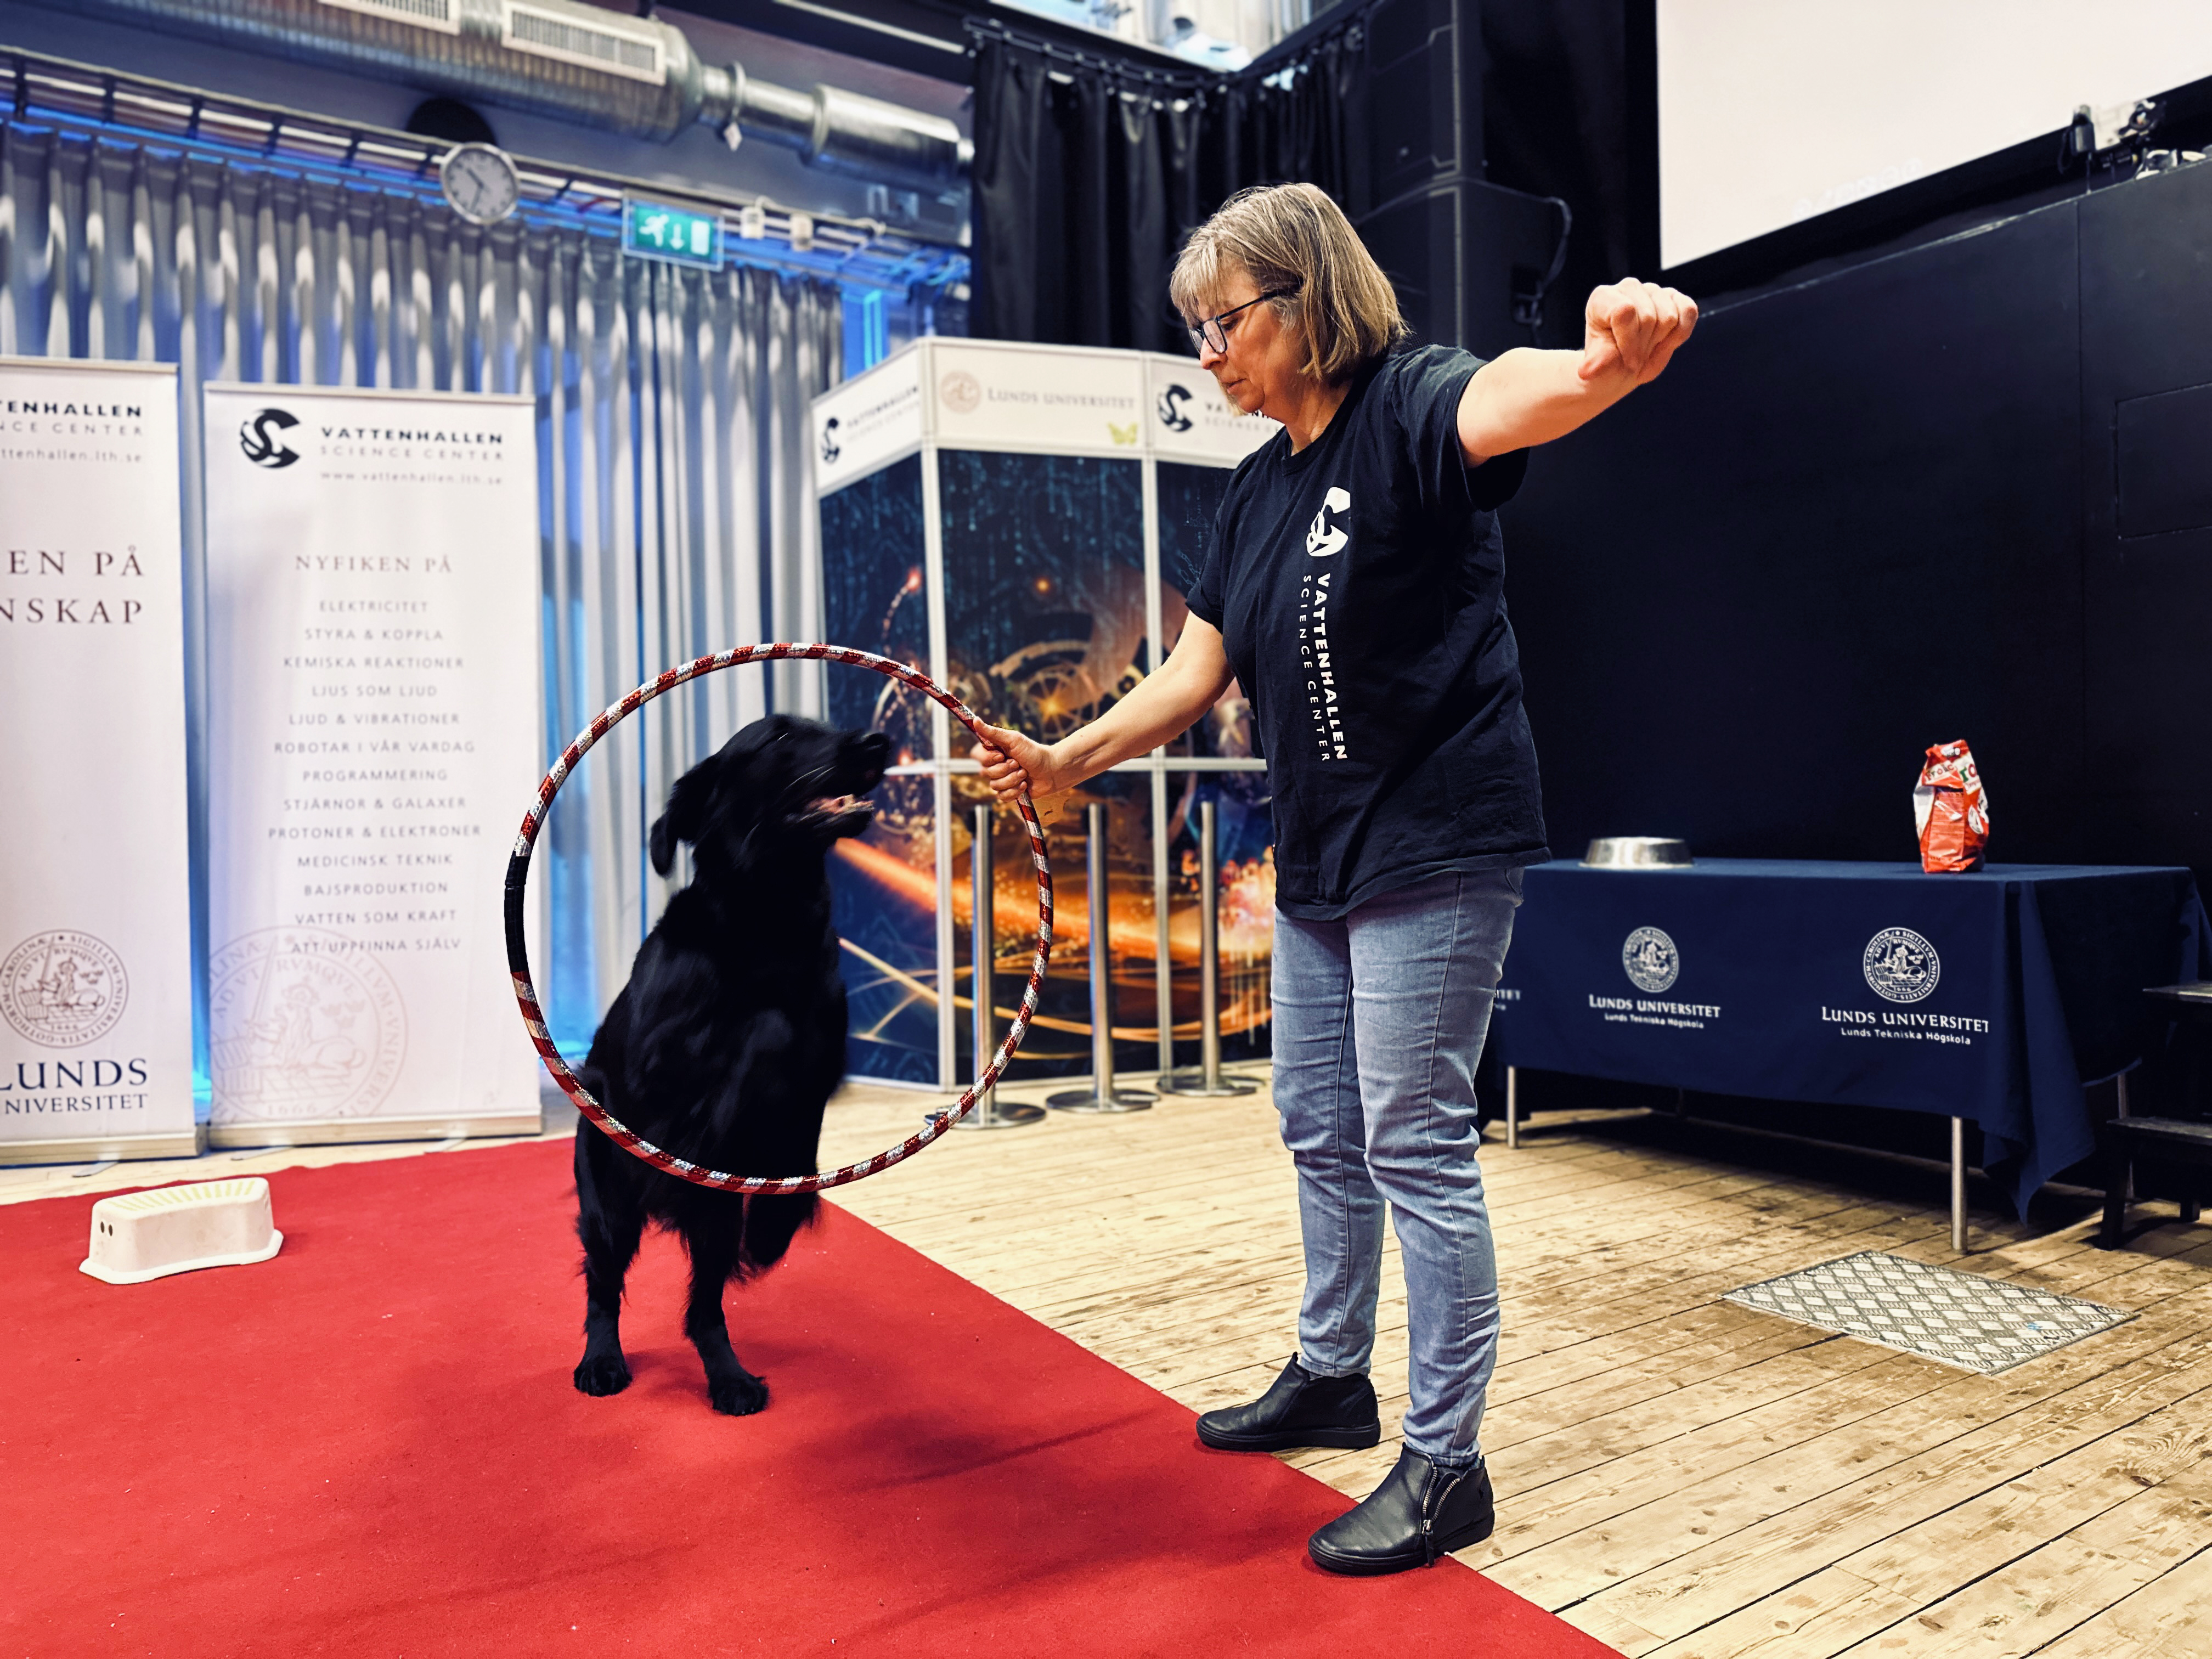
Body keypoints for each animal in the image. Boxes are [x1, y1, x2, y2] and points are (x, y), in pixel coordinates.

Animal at [571, 712, 889, 1415]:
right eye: (779, 739)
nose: (877, 743)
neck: (770, 925)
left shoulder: (821, 1067)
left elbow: (798, 1117)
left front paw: (773, 1228)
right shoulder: (657, 1070)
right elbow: (765, 1033)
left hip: (711, 1224)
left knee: (705, 1309)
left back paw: (730, 1377)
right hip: (608, 1201)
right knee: (604, 1287)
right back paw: (602, 1363)